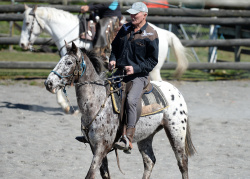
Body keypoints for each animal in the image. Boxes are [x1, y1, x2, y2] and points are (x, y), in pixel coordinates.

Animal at [20, 5, 188, 113]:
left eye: (27, 23)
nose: (22, 44)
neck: (75, 33)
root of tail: (164, 33)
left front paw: (65, 106)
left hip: (154, 69)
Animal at [44, 42, 194, 179]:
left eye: (69, 62)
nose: (48, 83)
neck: (98, 103)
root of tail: (175, 91)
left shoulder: (101, 147)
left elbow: (90, 175)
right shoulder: (94, 147)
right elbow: (105, 174)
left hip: (176, 133)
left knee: (182, 162)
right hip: (146, 136)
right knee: (150, 161)